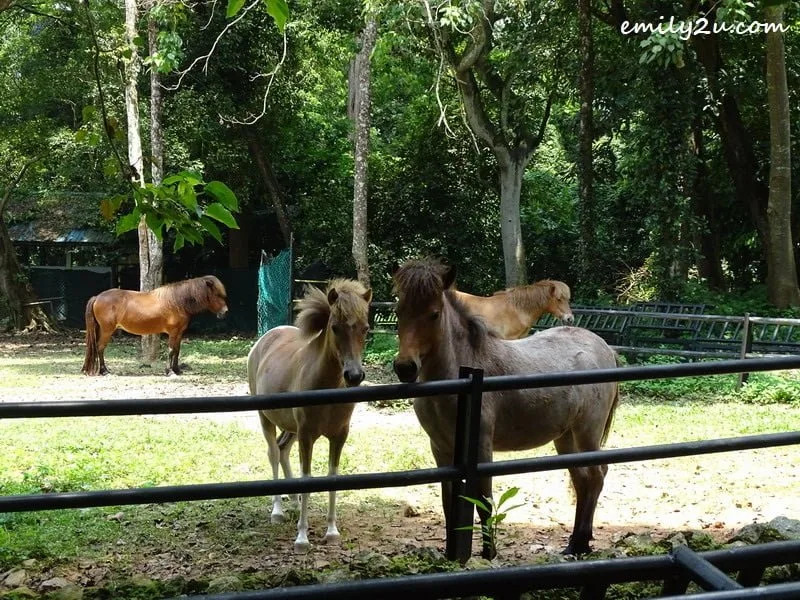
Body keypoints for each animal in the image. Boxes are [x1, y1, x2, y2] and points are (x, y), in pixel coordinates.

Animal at [81, 275, 229, 377]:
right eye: (217, 294)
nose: (225, 312)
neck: (178, 302)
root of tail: (97, 297)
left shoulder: (179, 333)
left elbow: (177, 350)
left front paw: (177, 370)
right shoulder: (173, 332)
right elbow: (171, 350)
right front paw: (169, 371)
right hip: (107, 330)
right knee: (100, 348)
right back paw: (104, 371)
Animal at [247, 279, 372, 553]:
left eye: (366, 328)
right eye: (335, 327)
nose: (354, 375)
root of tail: (264, 339)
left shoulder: (339, 435)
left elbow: (332, 478)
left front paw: (332, 532)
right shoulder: (307, 435)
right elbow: (307, 478)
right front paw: (302, 538)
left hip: (290, 428)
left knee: (283, 450)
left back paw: (293, 501)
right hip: (267, 419)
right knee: (273, 453)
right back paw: (278, 511)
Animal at [391, 258, 619, 559]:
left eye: (434, 314)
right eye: (399, 311)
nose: (405, 367)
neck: (463, 372)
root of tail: (606, 348)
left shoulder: (481, 447)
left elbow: (484, 500)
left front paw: (489, 553)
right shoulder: (440, 448)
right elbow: (448, 501)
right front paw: (452, 556)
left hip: (587, 433)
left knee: (595, 476)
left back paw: (580, 542)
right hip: (566, 438)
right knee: (583, 480)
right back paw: (574, 544)